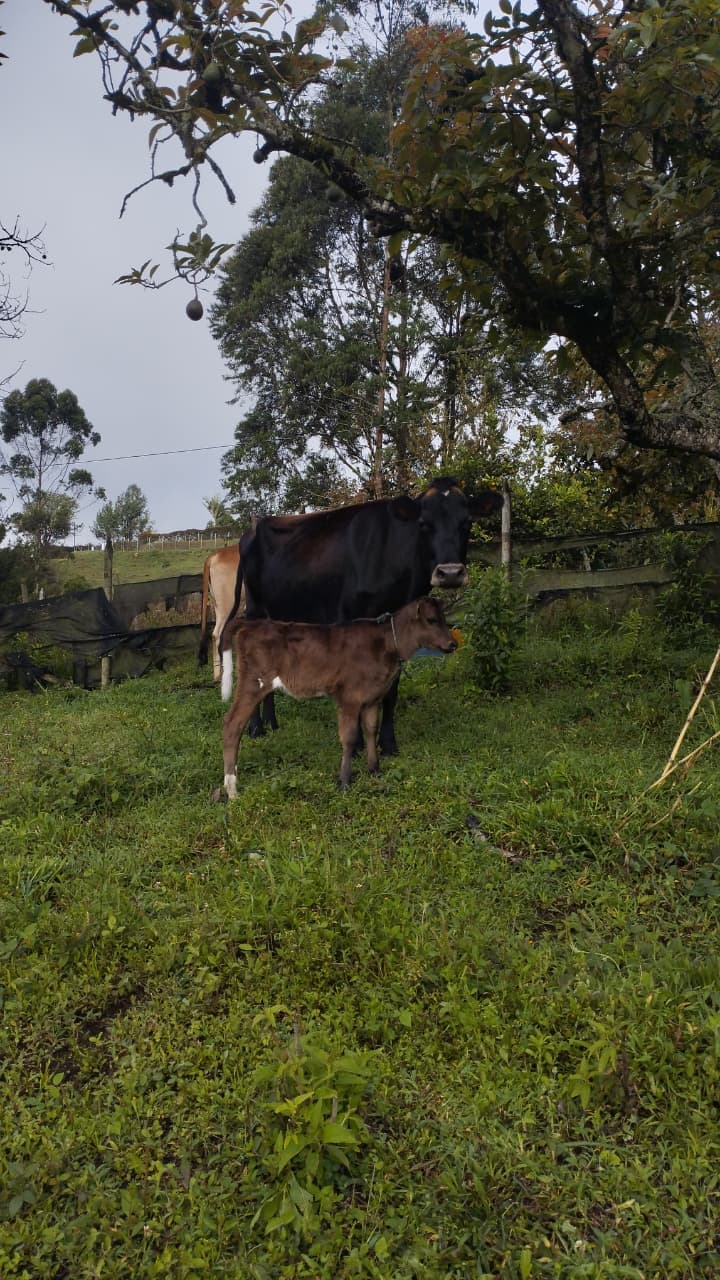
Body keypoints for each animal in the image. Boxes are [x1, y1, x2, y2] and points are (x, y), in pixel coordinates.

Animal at [220, 597, 457, 796]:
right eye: (432, 620)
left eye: (444, 619)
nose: (453, 644)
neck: (386, 644)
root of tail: (252, 624)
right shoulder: (349, 697)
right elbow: (349, 737)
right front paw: (344, 781)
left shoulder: (372, 698)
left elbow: (371, 730)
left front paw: (374, 770)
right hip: (253, 683)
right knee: (232, 725)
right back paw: (232, 791)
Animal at [225, 476, 503, 754]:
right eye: (424, 524)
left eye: (467, 522)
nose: (451, 573)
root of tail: (252, 530)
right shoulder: (350, 619)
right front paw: (357, 743)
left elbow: (392, 690)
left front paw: (388, 743)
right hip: (255, 609)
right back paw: (256, 728)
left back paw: (272, 724)